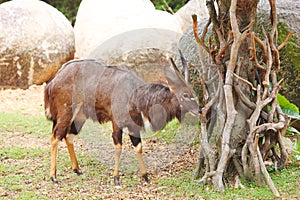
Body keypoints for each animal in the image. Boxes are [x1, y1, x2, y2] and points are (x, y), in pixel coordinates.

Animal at [44, 57, 199, 186]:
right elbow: (119, 146)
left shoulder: (134, 126)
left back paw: (77, 169)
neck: (136, 95)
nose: (200, 110)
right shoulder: (117, 123)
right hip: (66, 112)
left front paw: (145, 176)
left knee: (68, 136)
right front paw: (116, 179)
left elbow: (138, 147)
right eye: (185, 95)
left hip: (80, 116)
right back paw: (54, 177)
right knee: (55, 137)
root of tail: (53, 81)